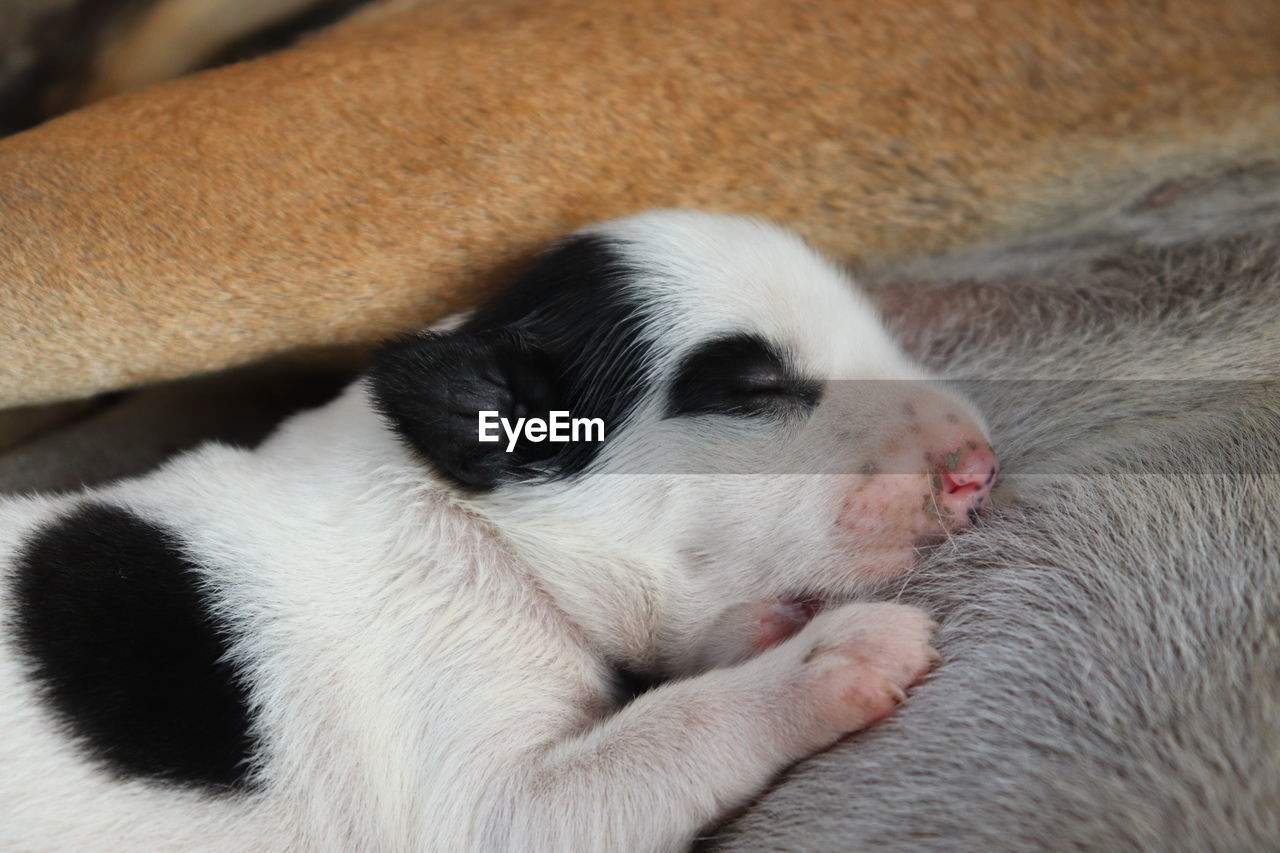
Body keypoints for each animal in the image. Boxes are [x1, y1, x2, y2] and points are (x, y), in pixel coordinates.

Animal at [0, 208, 998, 845]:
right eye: (754, 389)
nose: (978, 466)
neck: (476, 519)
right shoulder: (471, 785)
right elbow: (668, 727)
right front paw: (837, 654)